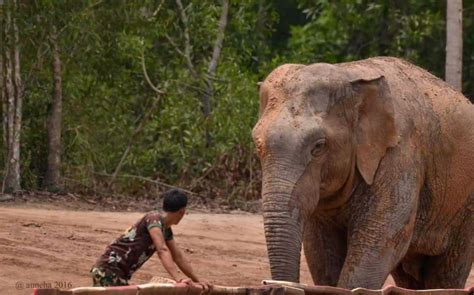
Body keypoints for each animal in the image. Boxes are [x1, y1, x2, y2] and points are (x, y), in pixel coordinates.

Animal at [252, 56, 474, 290]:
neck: (348, 75)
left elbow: (382, 238)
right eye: (257, 145)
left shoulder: (400, 155)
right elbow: (320, 248)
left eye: (319, 146)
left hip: (464, 206)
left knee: (447, 271)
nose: (271, 284)